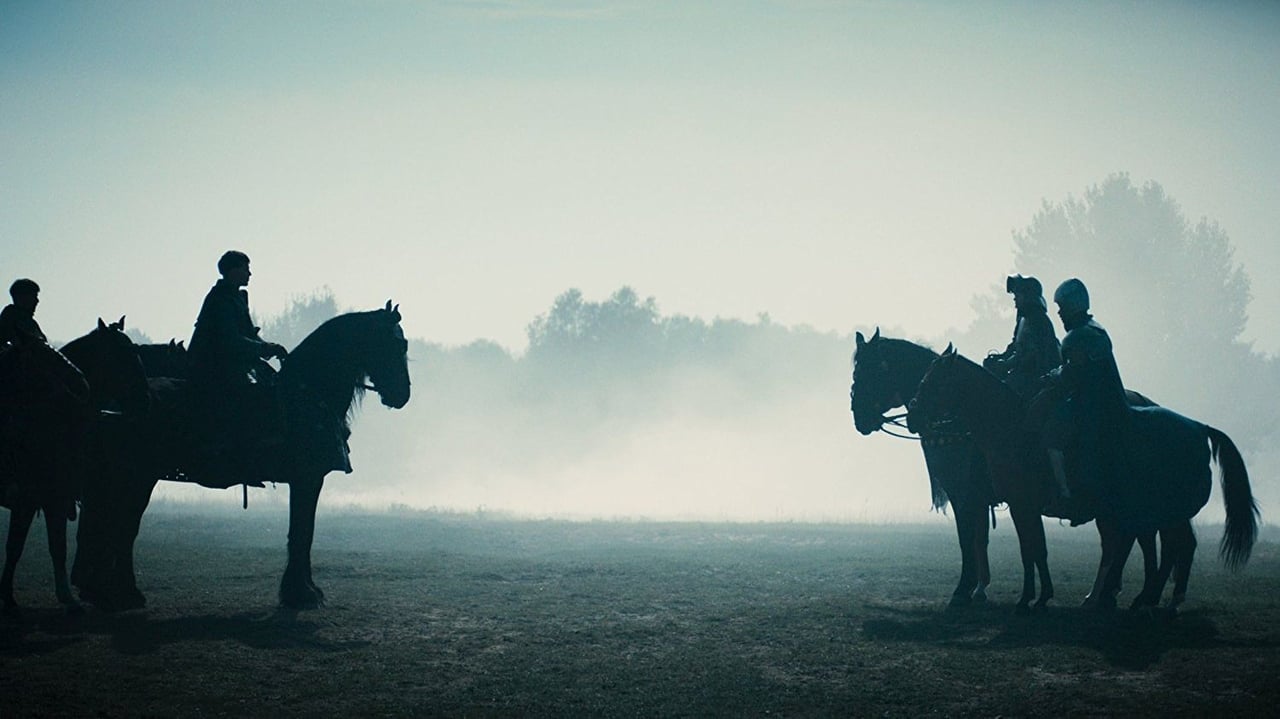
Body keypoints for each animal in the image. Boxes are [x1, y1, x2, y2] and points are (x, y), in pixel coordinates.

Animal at [0, 322, 148, 614]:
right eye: (122, 353)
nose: (145, 397)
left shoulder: (53, 498)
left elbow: (53, 546)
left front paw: (65, 594)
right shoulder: (33, 499)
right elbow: (20, 547)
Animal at [72, 299, 409, 606]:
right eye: (397, 344)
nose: (403, 395)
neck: (307, 396)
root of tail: (116, 407)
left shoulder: (309, 481)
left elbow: (305, 532)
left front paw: (306, 589)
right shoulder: (306, 479)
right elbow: (301, 532)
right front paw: (299, 593)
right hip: (138, 477)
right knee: (121, 527)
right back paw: (123, 591)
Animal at [855, 330, 993, 603]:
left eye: (870, 371)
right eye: (855, 373)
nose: (858, 417)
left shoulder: (962, 491)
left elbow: (967, 536)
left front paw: (964, 589)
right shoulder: (977, 496)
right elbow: (979, 538)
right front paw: (978, 587)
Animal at [911, 347, 1259, 608]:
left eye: (933, 380)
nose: (913, 413)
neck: (1010, 428)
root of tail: (1199, 427)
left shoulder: (1003, 503)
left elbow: (1021, 548)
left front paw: (1017, 597)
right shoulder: (1014, 506)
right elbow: (1032, 547)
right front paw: (1038, 595)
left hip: (1159, 511)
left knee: (1163, 544)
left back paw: (1142, 598)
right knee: (1165, 544)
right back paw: (1139, 597)